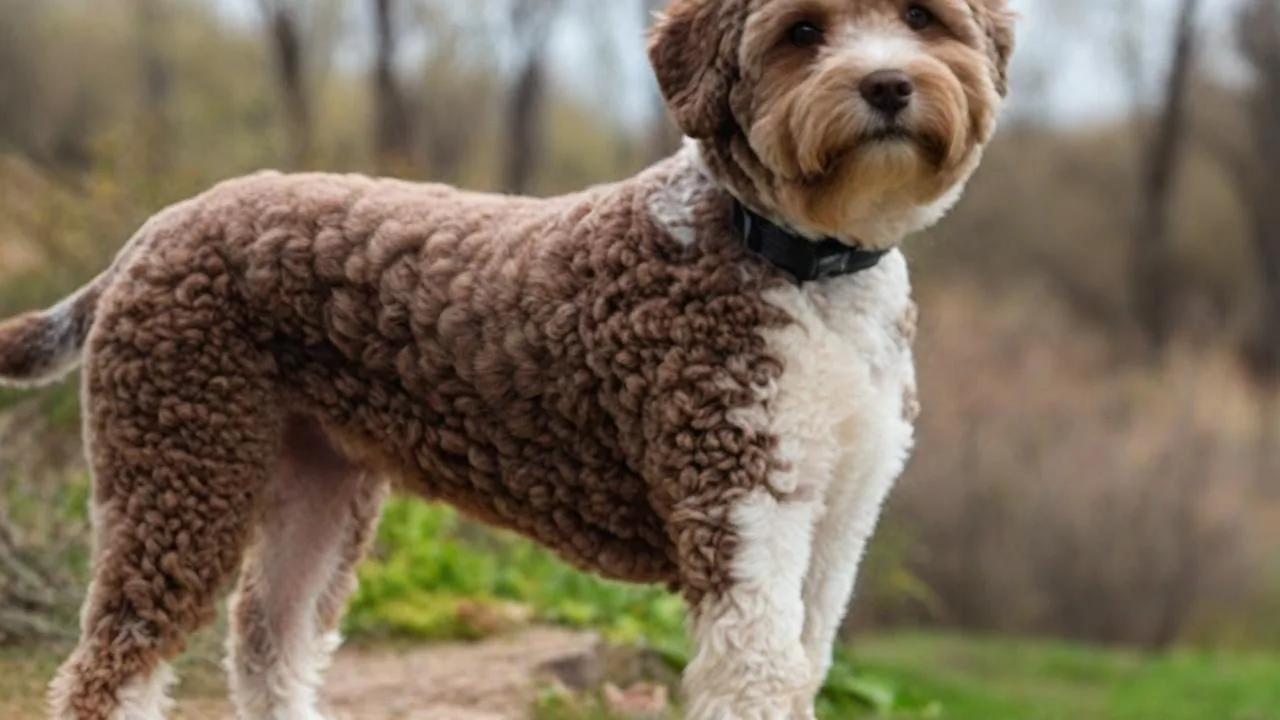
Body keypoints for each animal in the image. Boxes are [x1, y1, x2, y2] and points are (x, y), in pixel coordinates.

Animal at [0, 1, 1013, 712]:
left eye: (921, 17)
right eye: (803, 31)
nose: (888, 85)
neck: (799, 260)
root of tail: (150, 236)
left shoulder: (836, 525)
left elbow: (803, 670)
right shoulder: (741, 513)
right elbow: (760, 683)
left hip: (316, 485)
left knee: (267, 645)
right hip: (179, 468)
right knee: (111, 668)